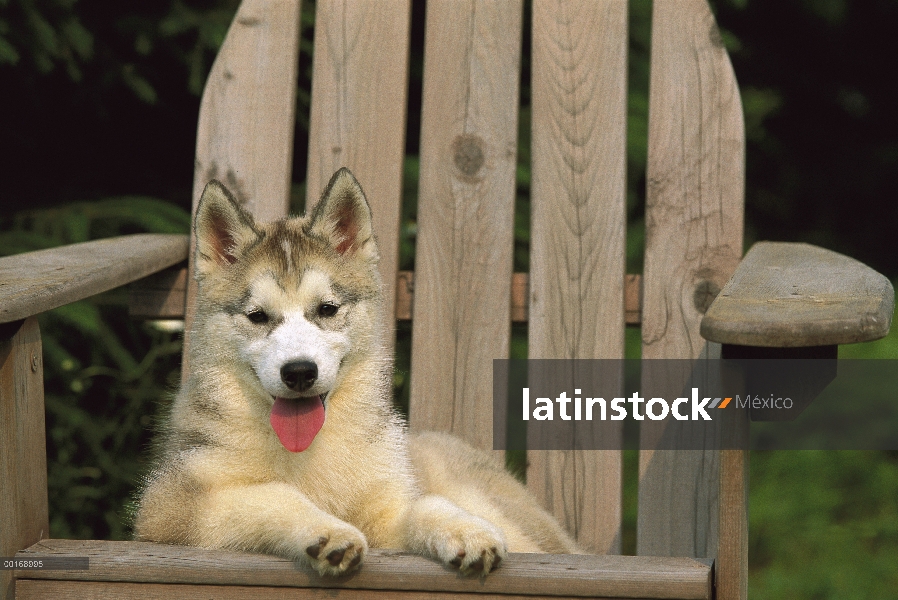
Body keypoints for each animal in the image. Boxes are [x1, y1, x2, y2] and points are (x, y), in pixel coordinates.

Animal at [134, 169, 580, 576]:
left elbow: (424, 504)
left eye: (327, 309)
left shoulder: (388, 509)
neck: (310, 450)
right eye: (258, 316)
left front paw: (467, 530)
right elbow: (272, 494)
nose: (300, 372)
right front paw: (327, 532)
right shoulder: (170, 506)